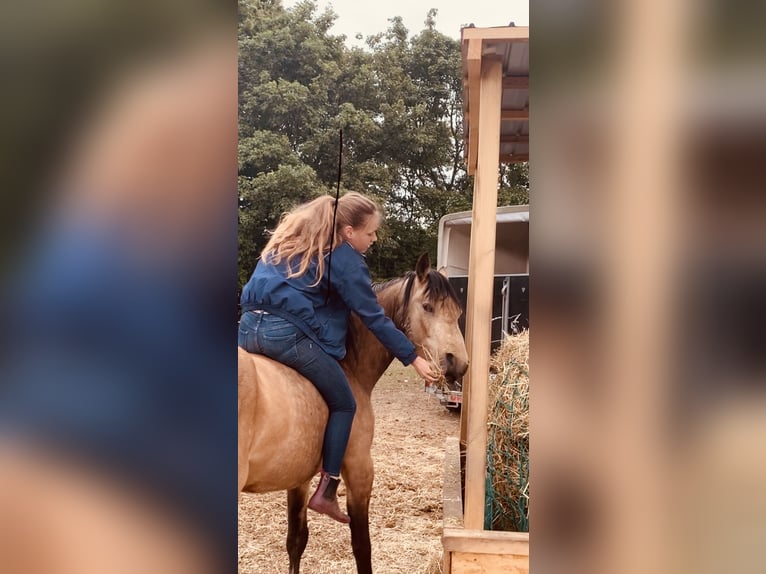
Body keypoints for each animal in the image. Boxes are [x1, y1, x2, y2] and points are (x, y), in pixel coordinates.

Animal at [238, 255, 468, 574]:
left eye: (457, 312)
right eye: (428, 306)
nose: (458, 363)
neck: (348, 366)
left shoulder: (299, 479)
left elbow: (296, 541)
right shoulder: (359, 471)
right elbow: (362, 547)